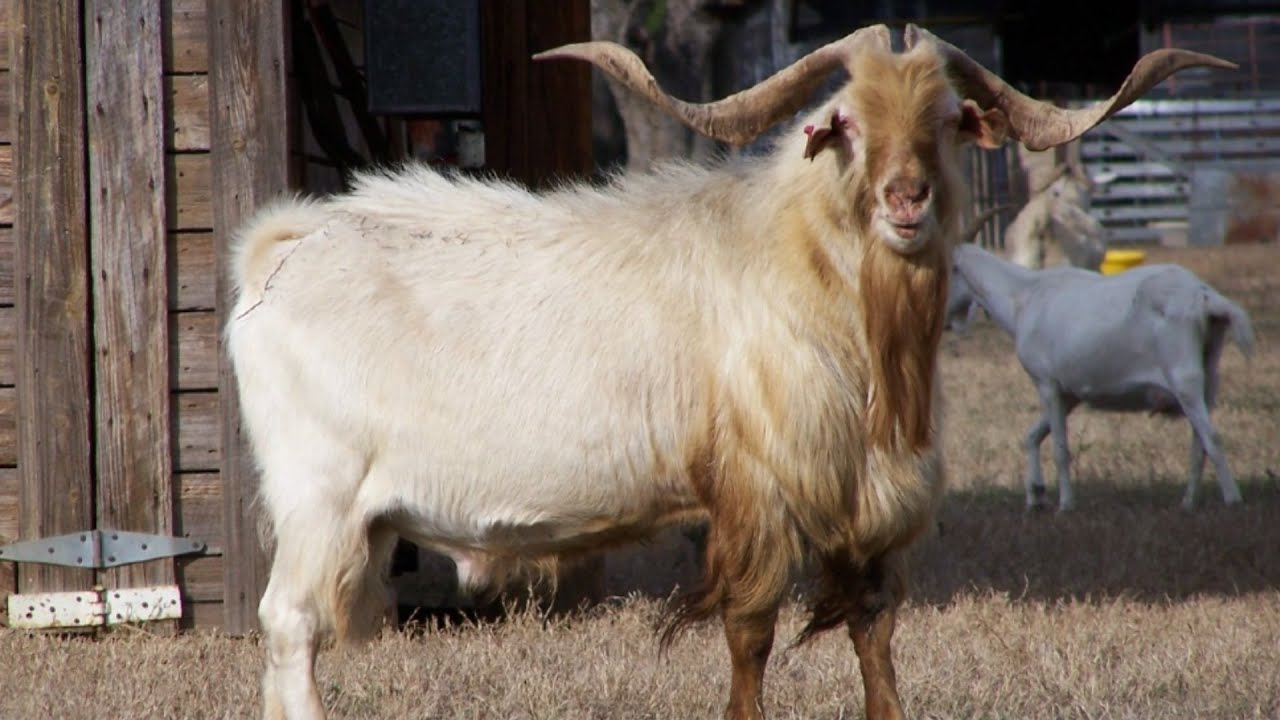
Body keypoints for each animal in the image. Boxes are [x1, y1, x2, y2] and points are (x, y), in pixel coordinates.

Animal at [949, 243, 1254, 512]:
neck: (1025, 297)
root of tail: (1204, 297)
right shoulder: (1070, 393)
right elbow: (1032, 435)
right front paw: (1035, 496)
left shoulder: (1046, 383)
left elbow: (1060, 448)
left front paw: (1065, 505)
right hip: (1209, 376)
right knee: (1198, 444)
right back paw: (1188, 503)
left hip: (1184, 379)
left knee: (1212, 436)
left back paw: (1233, 499)